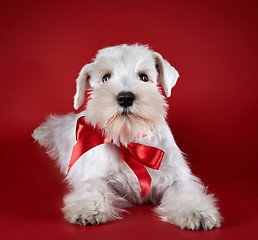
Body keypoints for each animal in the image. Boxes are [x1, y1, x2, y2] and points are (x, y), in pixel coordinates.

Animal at [32, 44, 222, 230]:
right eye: (106, 77)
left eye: (144, 77)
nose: (125, 98)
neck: (130, 142)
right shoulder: (96, 176)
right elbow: (94, 187)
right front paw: (89, 210)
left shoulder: (177, 177)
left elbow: (185, 192)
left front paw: (196, 212)